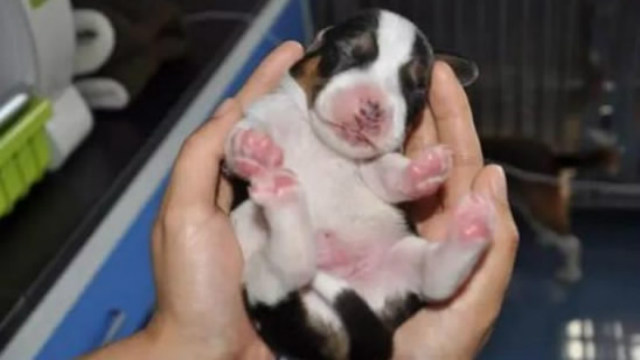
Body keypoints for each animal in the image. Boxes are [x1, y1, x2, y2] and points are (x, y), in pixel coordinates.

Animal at [225, 9, 490, 360]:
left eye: (416, 87)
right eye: (350, 51)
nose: (372, 109)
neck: (325, 143)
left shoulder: (373, 166)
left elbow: (387, 174)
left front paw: (422, 170)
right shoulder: (264, 113)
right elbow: (244, 138)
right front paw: (252, 147)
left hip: (402, 260)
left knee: (434, 279)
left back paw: (471, 229)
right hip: (263, 289)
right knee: (285, 272)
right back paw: (281, 195)